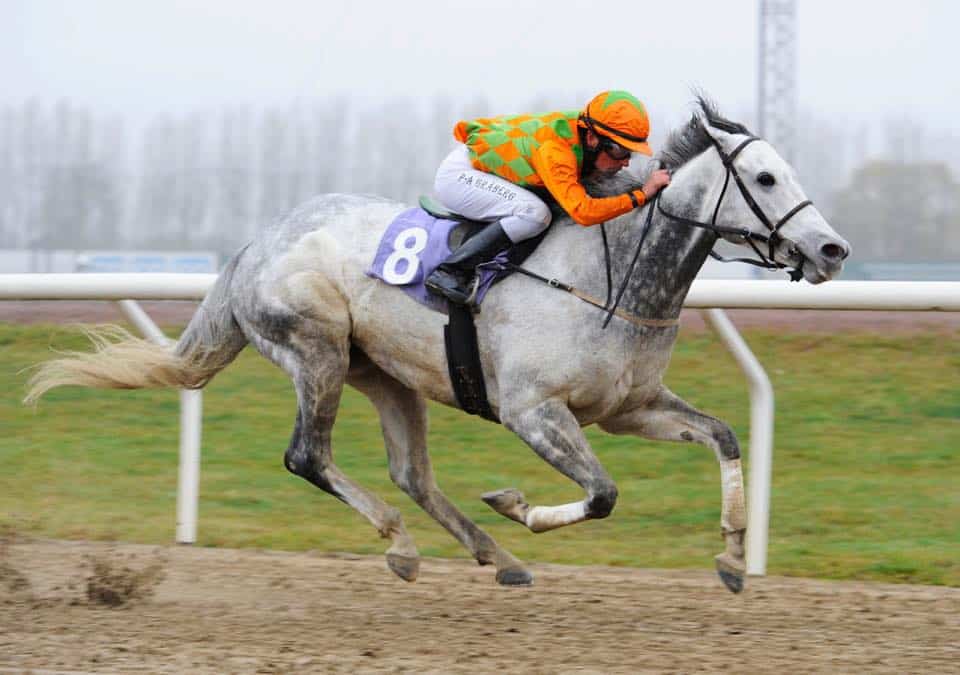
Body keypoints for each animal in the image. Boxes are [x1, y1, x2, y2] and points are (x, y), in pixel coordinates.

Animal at [24, 99, 848, 592]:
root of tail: (257, 244)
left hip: (389, 375)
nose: (832, 249)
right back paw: (403, 545)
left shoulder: (627, 407)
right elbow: (603, 493)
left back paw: (495, 555)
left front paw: (733, 557)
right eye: (765, 178)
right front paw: (518, 504)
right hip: (316, 350)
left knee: (412, 473)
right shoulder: (534, 411)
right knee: (308, 456)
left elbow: (725, 435)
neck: (604, 276)